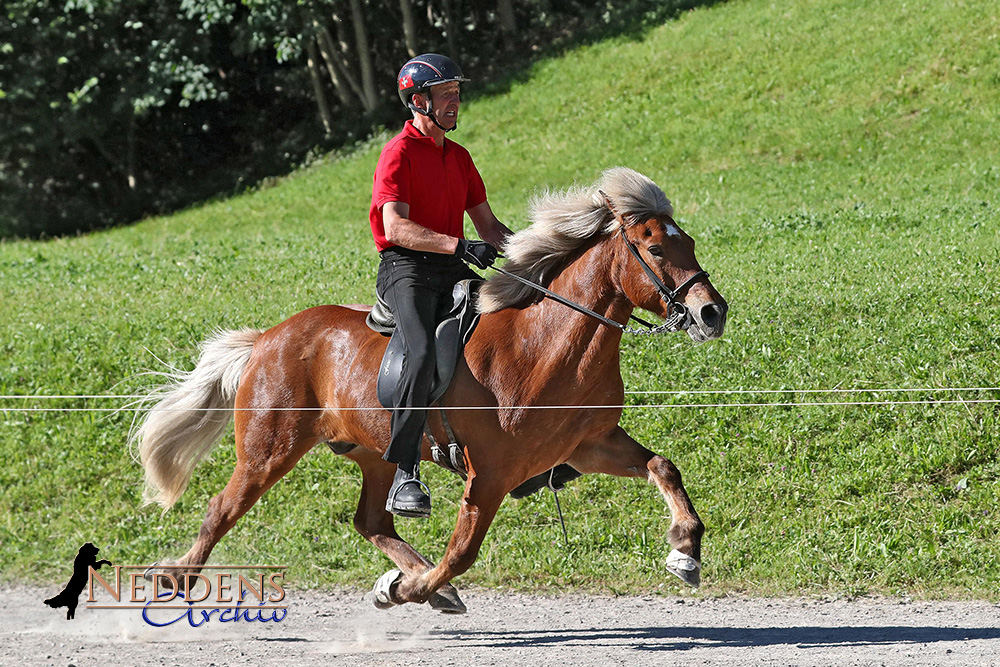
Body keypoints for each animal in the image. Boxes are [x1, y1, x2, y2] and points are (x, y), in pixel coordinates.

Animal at [135, 166, 728, 612]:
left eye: (691, 242)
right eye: (654, 248)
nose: (711, 313)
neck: (546, 345)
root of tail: (267, 338)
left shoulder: (588, 445)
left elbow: (663, 467)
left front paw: (685, 551)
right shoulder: (490, 472)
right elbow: (463, 551)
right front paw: (410, 589)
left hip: (373, 451)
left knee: (371, 520)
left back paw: (416, 580)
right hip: (268, 450)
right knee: (221, 508)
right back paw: (176, 577)